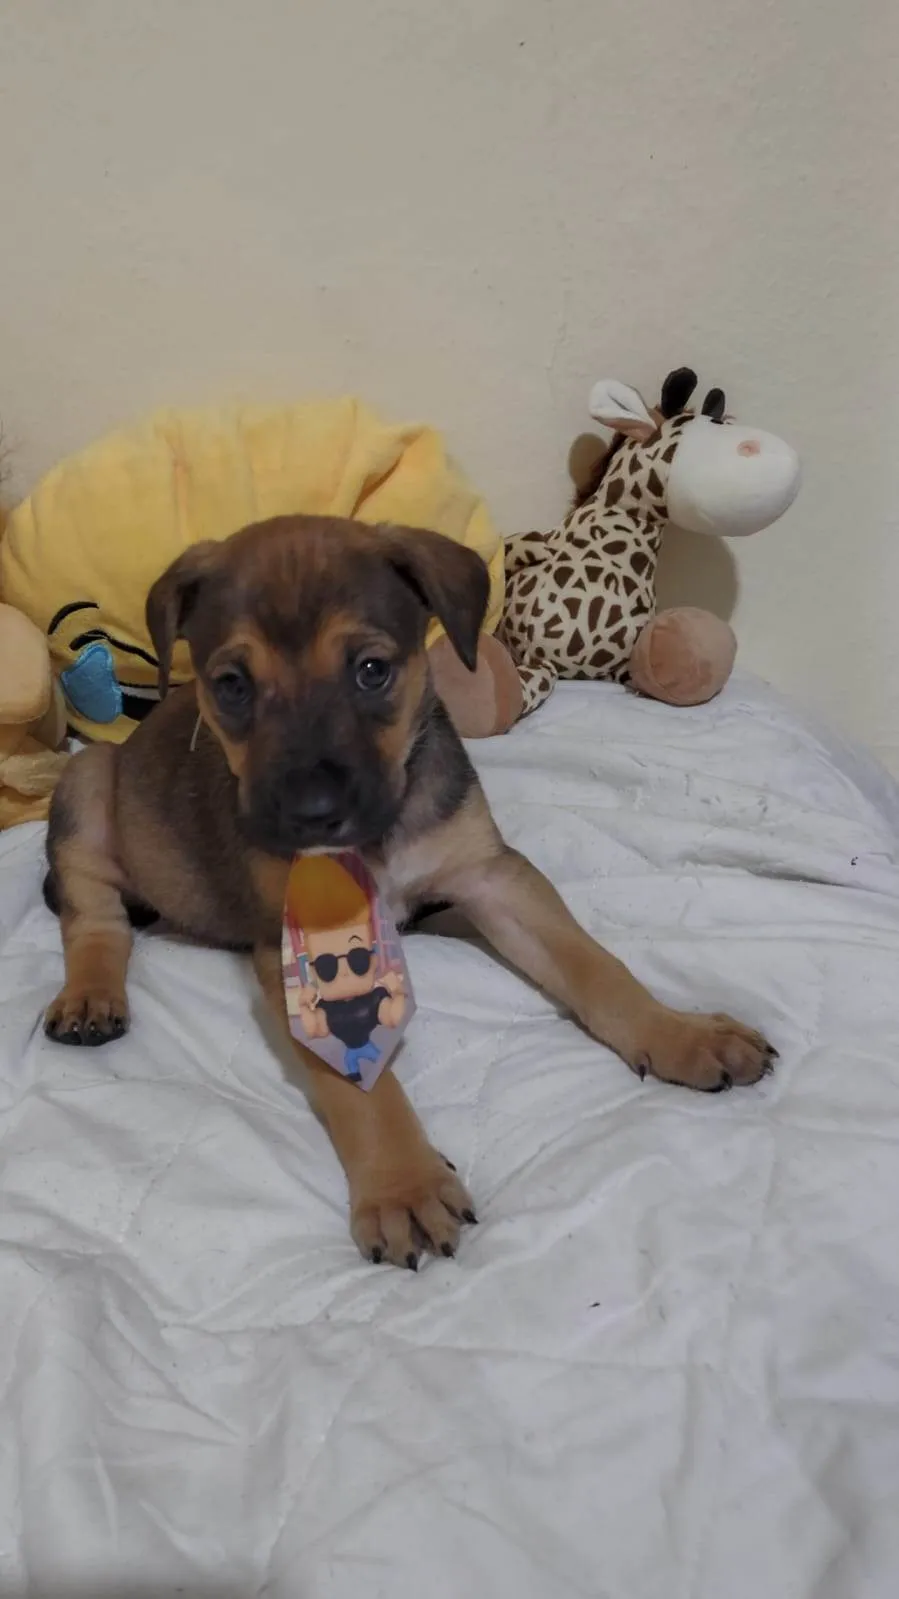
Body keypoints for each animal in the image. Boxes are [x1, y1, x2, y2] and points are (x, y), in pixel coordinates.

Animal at [42, 514, 776, 1267]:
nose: (310, 813)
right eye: (232, 685)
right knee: (93, 918)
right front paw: (403, 1187)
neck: (376, 840)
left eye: (372, 670)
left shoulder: (492, 876)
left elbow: (594, 966)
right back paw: (90, 997)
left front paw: (678, 1032)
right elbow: (357, 1087)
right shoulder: (299, 949)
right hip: (87, 785)